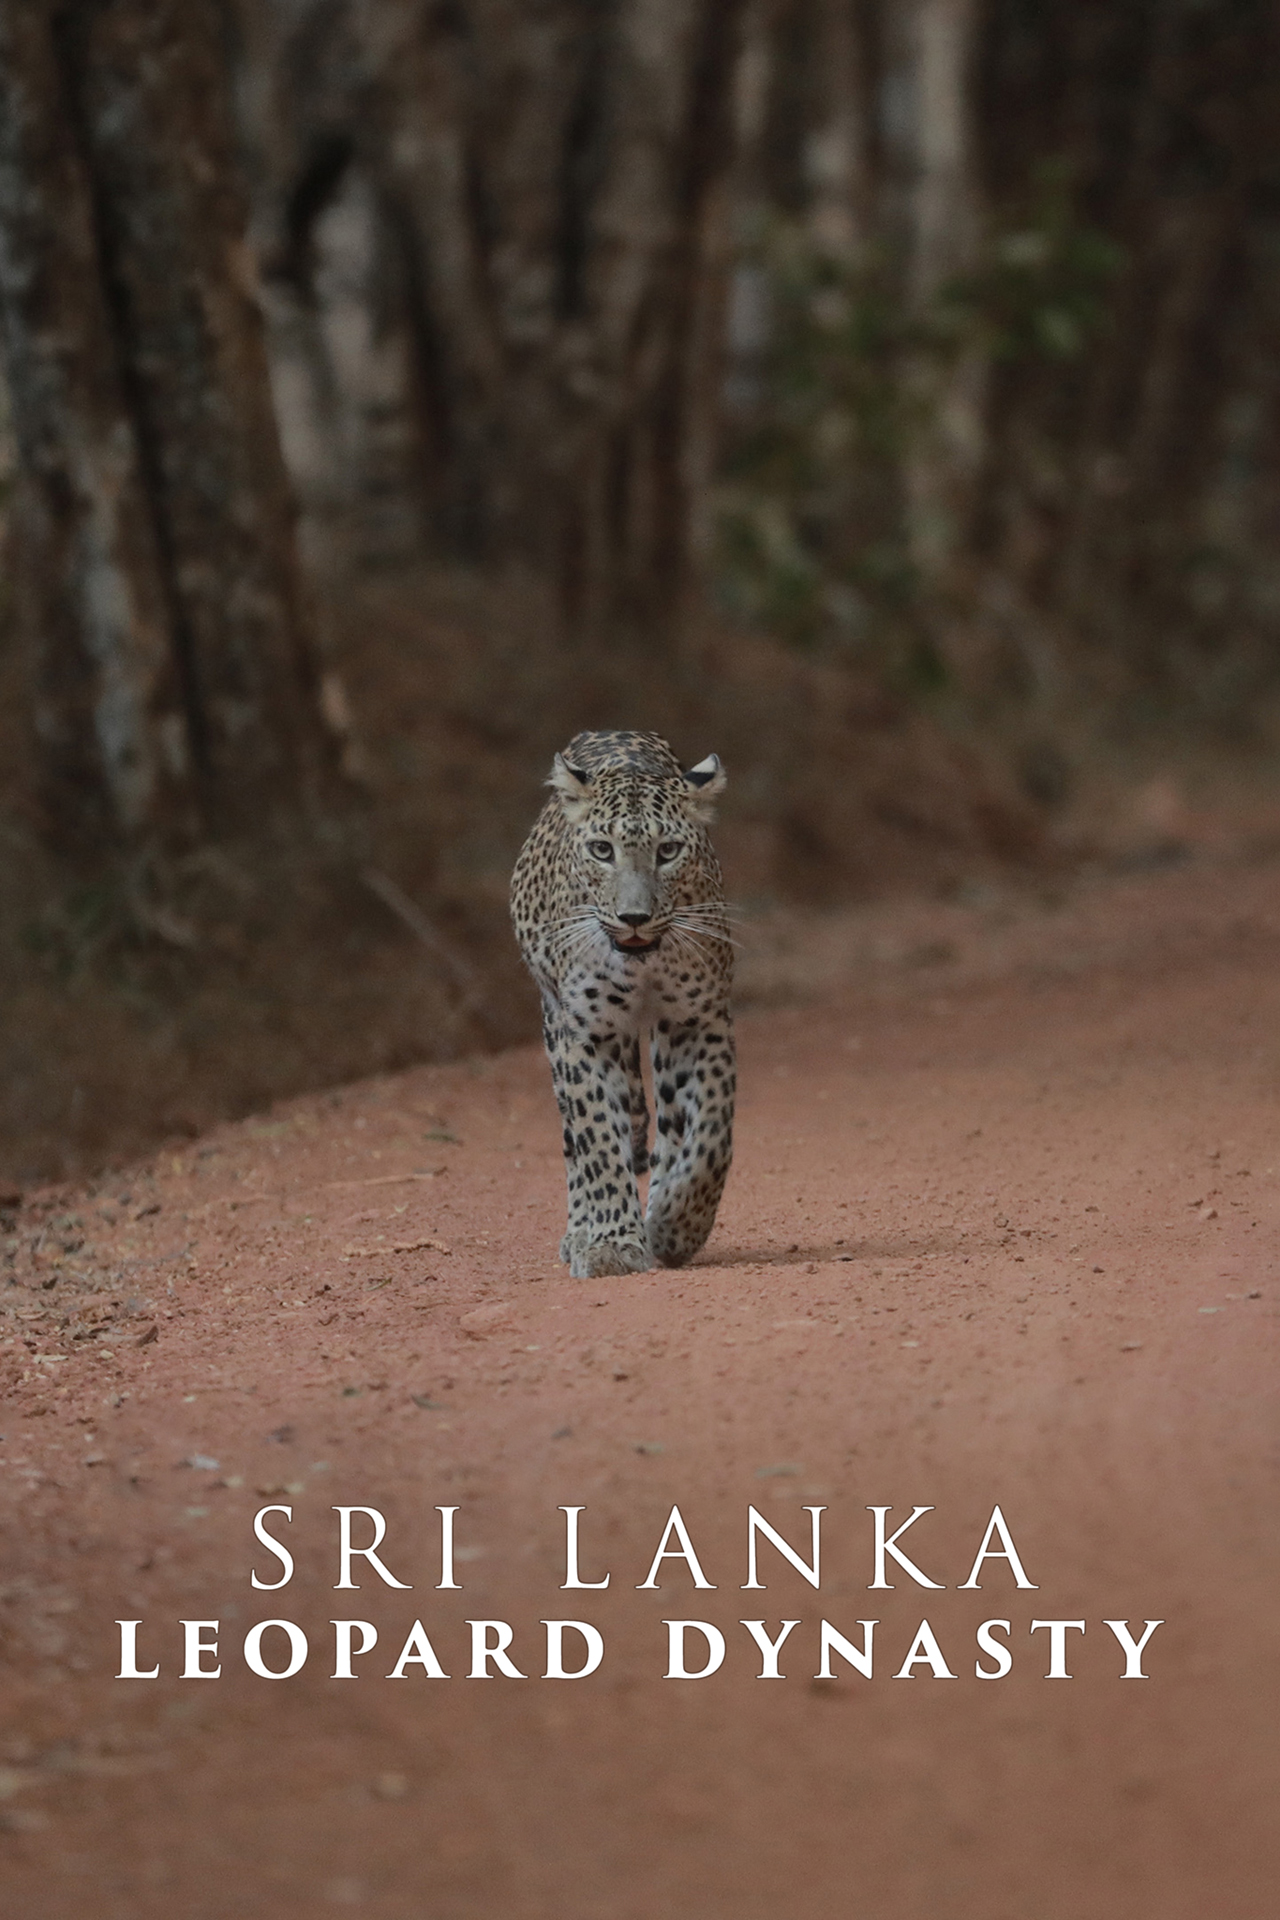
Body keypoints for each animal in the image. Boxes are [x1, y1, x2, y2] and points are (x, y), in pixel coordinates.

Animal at [511, 729, 735, 1279]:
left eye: (669, 850)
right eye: (602, 850)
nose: (634, 917)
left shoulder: (699, 1019)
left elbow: (711, 1132)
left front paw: (677, 1224)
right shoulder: (586, 1032)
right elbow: (596, 1136)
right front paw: (611, 1242)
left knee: (672, 1124)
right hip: (556, 1028)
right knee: (576, 1138)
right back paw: (581, 1231)